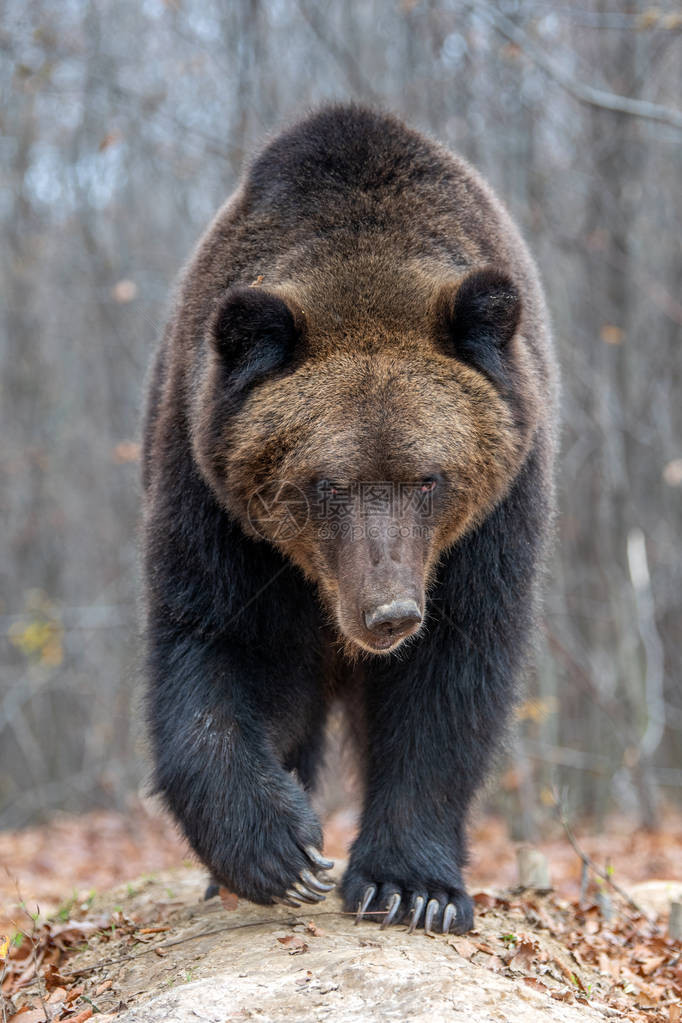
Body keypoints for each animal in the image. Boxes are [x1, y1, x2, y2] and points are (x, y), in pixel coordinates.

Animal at [141, 103, 556, 937]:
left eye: (429, 476)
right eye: (326, 481)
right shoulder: (219, 507)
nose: (388, 612)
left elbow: (450, 680)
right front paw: (279, 852)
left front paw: (410, 886)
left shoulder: (489, 526)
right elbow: (213, 647)